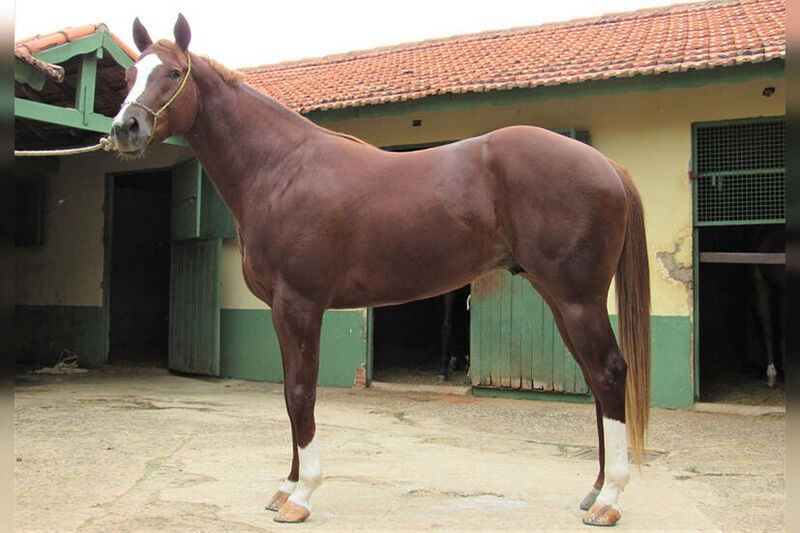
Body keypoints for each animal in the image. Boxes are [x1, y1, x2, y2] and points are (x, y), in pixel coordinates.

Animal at [111, 14, 648, 524]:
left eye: (172, 73)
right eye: (130, 75)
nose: (125, 129)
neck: (281, 170)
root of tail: (607, 165)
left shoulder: (300, 305)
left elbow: (301, 393)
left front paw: (302, 496)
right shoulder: (281, 311)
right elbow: (287, 393)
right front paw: (286, 485)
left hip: (576, 299)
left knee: (608, 373)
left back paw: (610, 500)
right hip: (560, 300)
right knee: (595, 379)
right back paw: (596, 490)